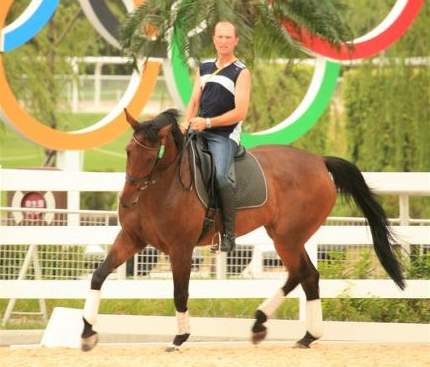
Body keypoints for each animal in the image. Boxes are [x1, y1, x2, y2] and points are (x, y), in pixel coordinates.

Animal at [80, 108, 404, 350]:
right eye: (128, 151)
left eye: (153, 156)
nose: (126, 199)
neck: (162, 187)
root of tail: (319, 161)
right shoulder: (132, 239)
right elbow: (98, 275)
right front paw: (87, 332)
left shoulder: (180, 248)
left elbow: (180, 292)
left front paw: (180, 338)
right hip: (285, 236)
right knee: (303, 274)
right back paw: (284, 329)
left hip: (288, 237)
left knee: (305, 274)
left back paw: (295, 331)